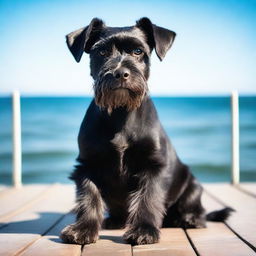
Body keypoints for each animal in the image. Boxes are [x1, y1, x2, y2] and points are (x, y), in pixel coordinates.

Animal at [60, 17, 232, 245]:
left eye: (138, 51)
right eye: (102, 52)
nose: (120, 73)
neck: (120, 113)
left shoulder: (153, 165)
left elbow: (147, 198)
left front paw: (144, 230)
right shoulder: (87, 164)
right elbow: (89, 196)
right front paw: (83, 229)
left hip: (193, 185)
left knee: (195, 208)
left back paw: (190, 218)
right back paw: (114, 220)